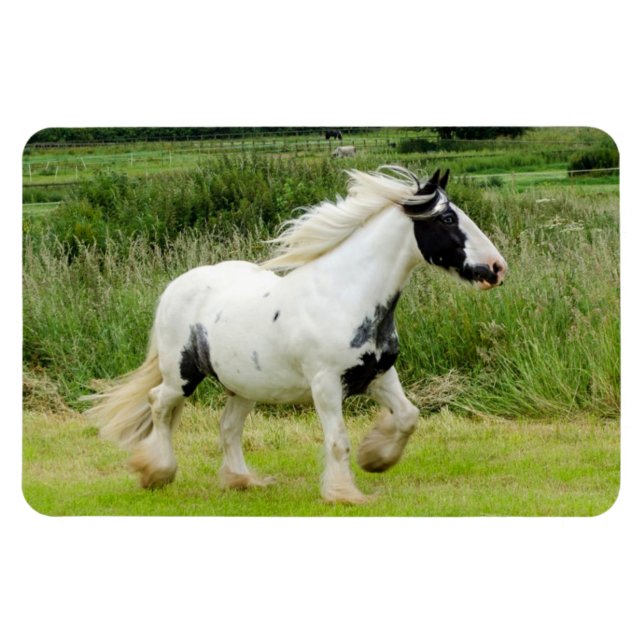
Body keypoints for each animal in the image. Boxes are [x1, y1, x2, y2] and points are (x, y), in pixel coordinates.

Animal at [85, 166, 507, 504]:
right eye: (448, 218)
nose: (497, 268)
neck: (345, 295)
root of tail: (175, 287)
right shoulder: (326, 383)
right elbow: (338, 440)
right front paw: (344, 494)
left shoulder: (379, 374)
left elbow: (408, 416)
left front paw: (375, 460)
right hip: (181, 375)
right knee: (159, 403)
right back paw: (157, 472)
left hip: (243, 385)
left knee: (227, 426)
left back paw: (242, 481)